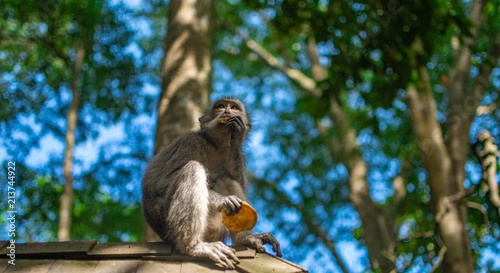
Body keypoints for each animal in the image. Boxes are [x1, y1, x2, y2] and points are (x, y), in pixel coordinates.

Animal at [142, 97, 282, 268]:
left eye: (234, 107)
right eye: (220, 106)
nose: (227, 111)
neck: (215, 145)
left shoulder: (238, 155)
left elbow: (237, 178)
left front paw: (237, 136)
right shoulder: (190, 142)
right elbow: (161, 184)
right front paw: (223, 200)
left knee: (227, 179)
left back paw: (246, 239)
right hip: (166, 221)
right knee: (193, 169)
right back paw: (193, 246)